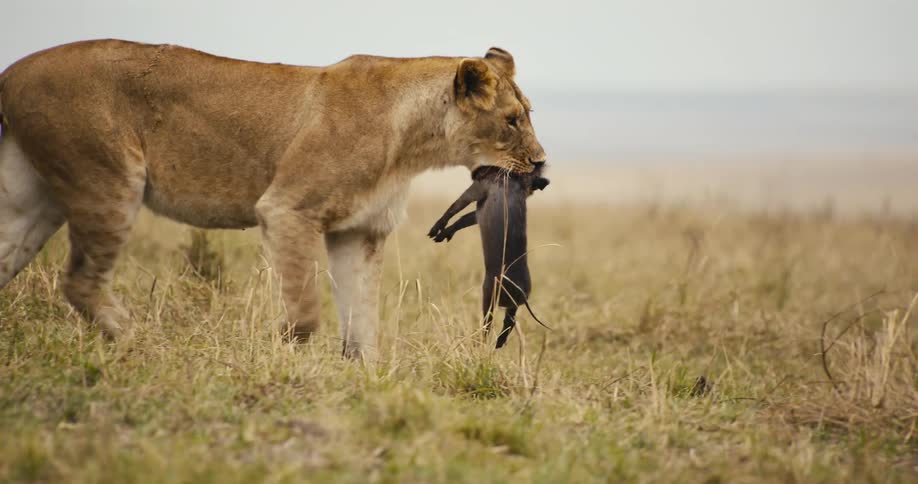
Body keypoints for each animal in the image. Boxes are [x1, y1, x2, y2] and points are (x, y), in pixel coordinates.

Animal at [0, 40, 546, 358]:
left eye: (529, 113)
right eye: (512, 120)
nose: (541, 165)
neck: (413, 144)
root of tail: (12, 71)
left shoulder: (359, 232)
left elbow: (362, 320)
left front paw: (364, 380)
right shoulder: (288, 208)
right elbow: (305, 312)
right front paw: (279, 355)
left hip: (32, 200)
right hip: (109, 180)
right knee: (81, 282)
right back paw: (139, 343)